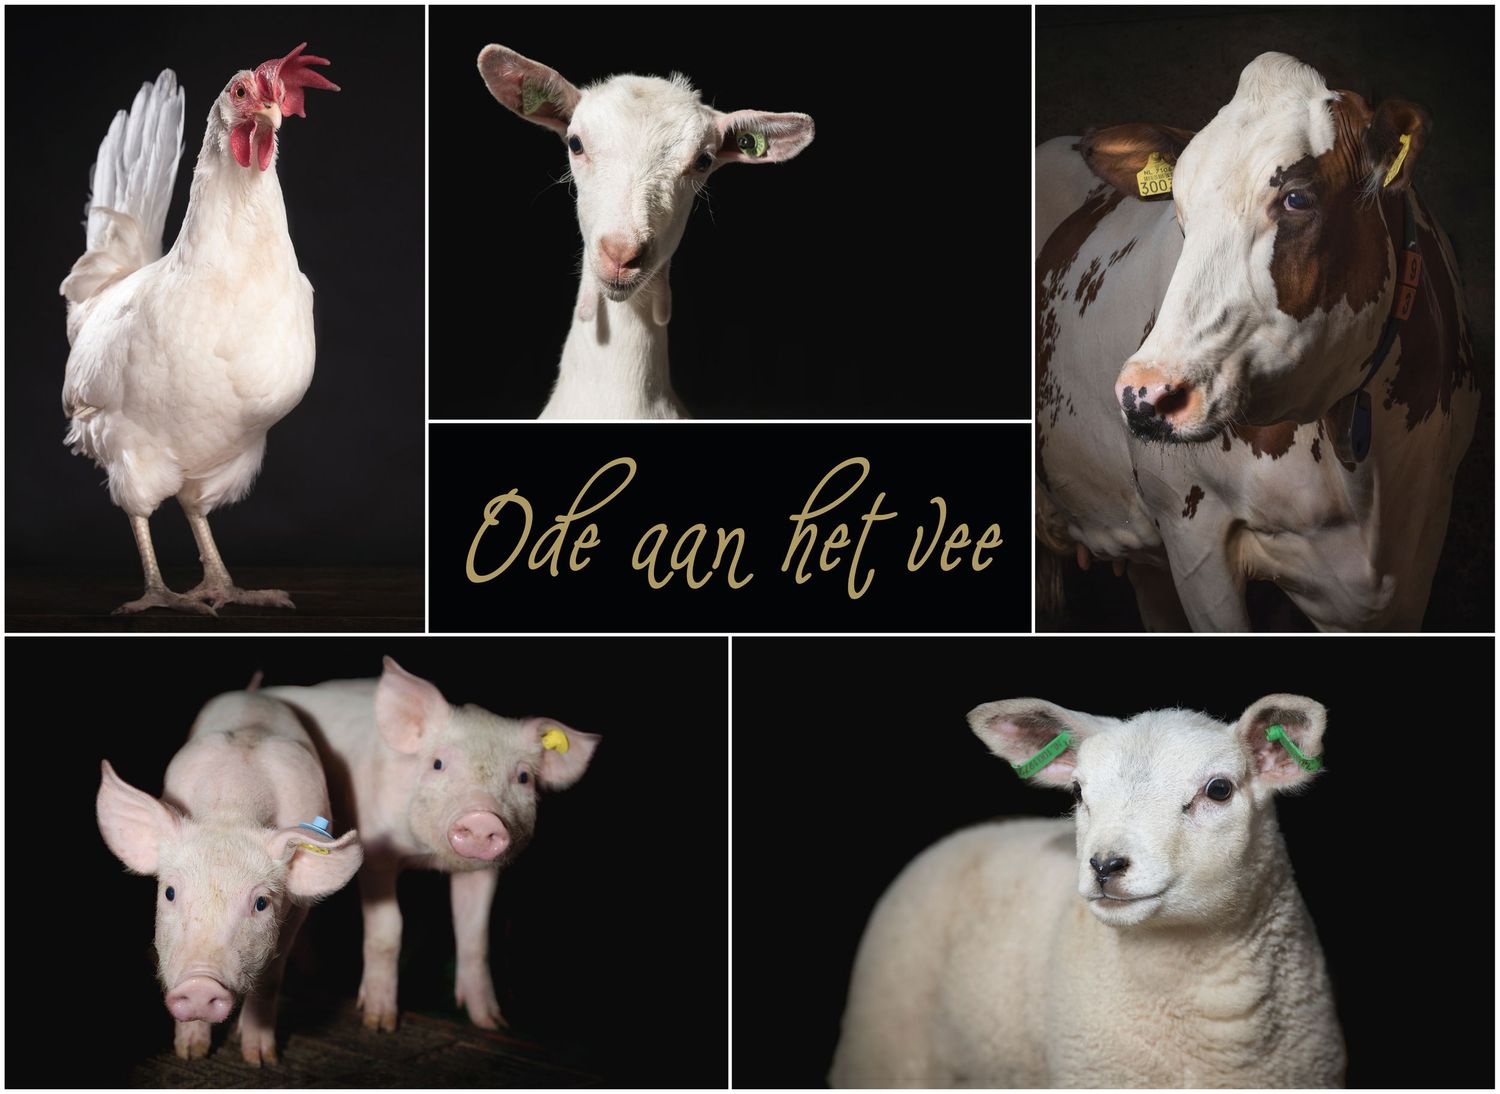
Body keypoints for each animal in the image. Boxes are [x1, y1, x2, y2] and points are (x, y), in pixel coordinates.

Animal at [96, 689, 363, 1065]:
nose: (199, 985)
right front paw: (191, 1053)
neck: (232, 810)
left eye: (261, 903)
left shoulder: (298, 910)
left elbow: (270, 978)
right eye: (170, 893)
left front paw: (261, 1059)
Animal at [264, 657, 599, 1031]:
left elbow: (475, 937)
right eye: (438, 763)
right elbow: (389, 930)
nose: (483, 818)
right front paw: (379, 1023)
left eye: (524, 777)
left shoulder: (484, 871)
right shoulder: (376, 855)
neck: (428, 858)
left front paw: (493, 1024)